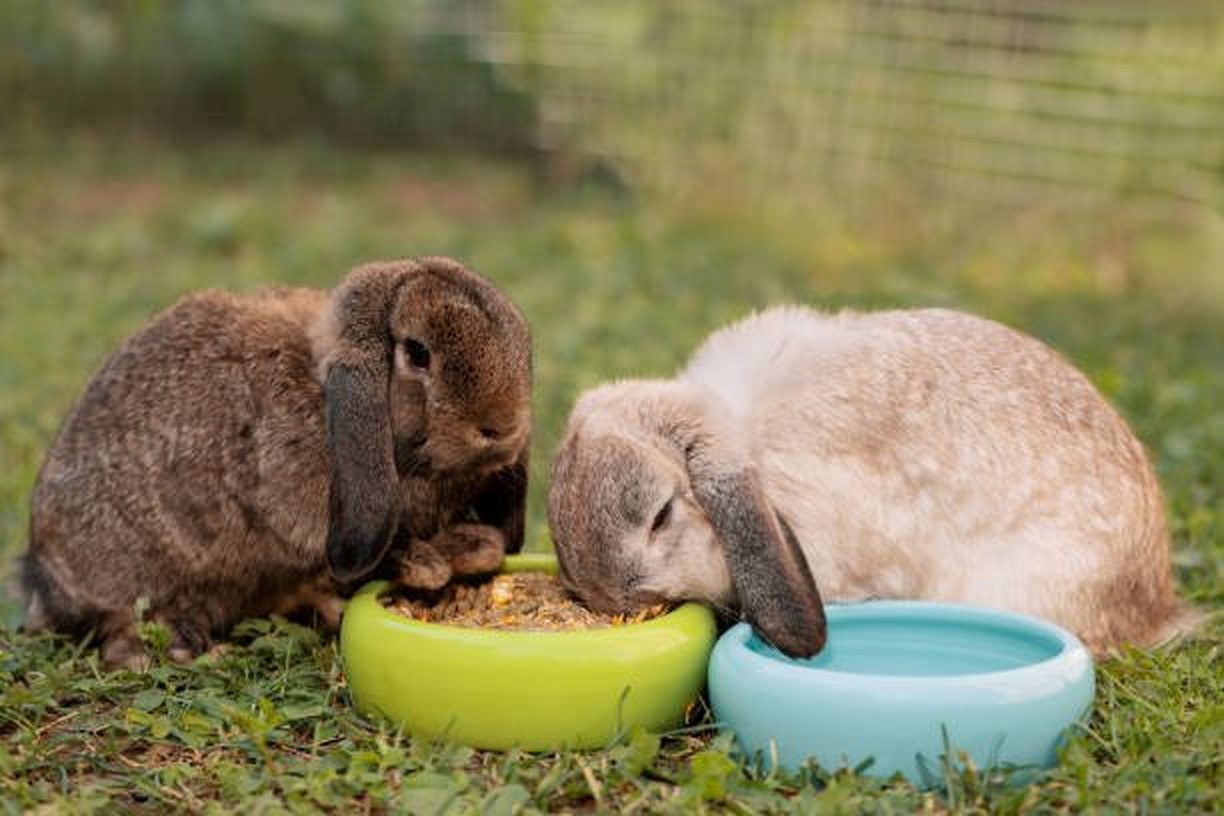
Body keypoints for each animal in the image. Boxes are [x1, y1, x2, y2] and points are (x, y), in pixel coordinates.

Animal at [23, 257, 532, 669]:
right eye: (417, 353)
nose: (504, 426)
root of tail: (43, 580)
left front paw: (476, 548)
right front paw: (427, 565)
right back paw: (190, 648)